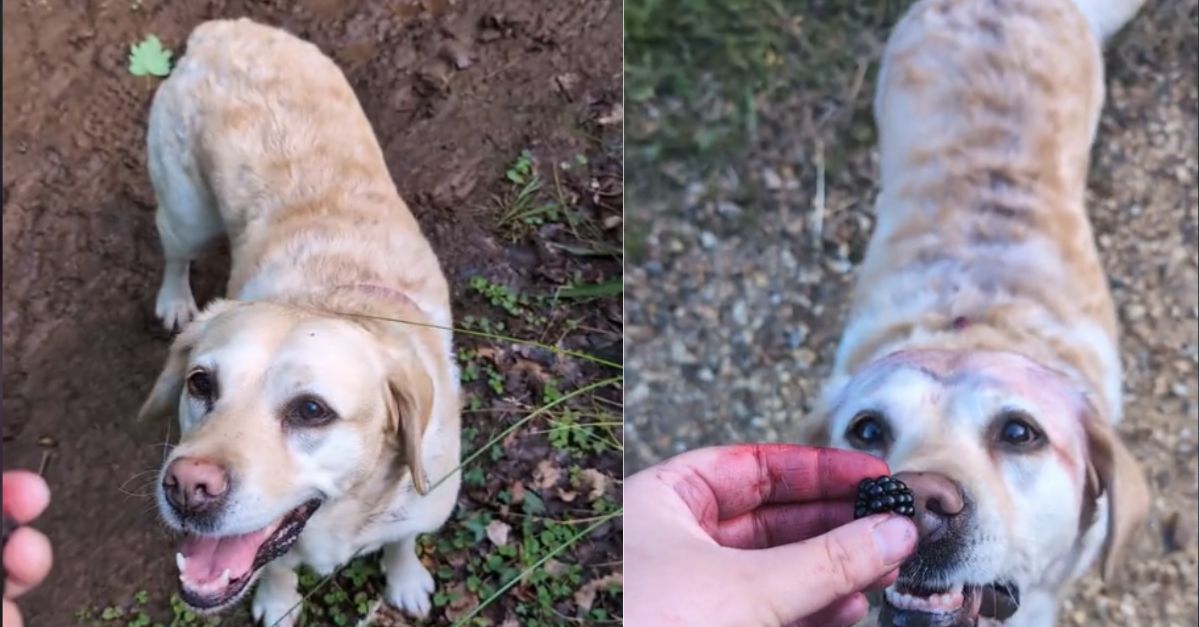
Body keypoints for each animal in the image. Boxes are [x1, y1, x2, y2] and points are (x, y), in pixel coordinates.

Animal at [138, 17, 460, 619]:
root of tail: (226, 29)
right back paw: (173, 298)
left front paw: (405, 578)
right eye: (200, 384)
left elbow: (403, 540)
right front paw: (279, 601)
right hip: (187, 210)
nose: (187, 486)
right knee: (175, 252)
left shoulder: (422, 504)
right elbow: (277, 567)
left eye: (312, 410)